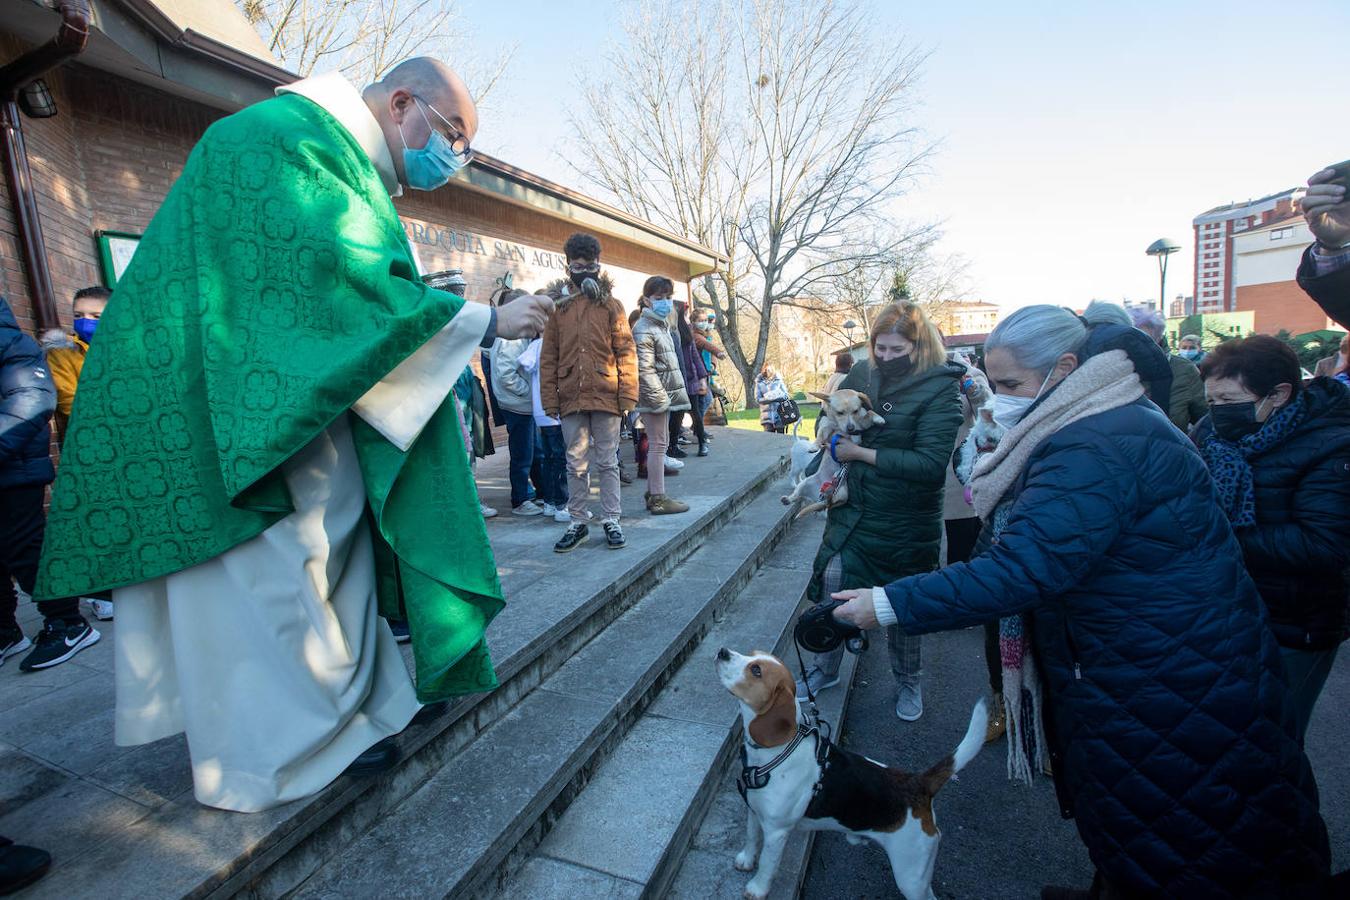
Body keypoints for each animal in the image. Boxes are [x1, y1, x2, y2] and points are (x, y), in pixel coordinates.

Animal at [712, 647, 988, 900]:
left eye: (756, 670)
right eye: (751, 654)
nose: (723, 651)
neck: (777, 752)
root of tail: (918, 783)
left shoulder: (777, 832)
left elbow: (767, 865)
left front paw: (756, 889)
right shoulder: (754, 811)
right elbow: (751, 838)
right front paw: (746, 860)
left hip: (910, 873)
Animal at [783, 388, 885, 520]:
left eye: (856, 411)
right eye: (839, 413)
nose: (851, 428)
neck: (840, 428)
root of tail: (822, 496)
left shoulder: (860, 426)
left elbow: (869, 412)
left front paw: (879, 418)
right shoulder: (827, 427)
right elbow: (821, 433)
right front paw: (814, 446)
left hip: (843, 494)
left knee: (831, 504)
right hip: (805, 483)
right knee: (796, 496)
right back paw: (787, 499)